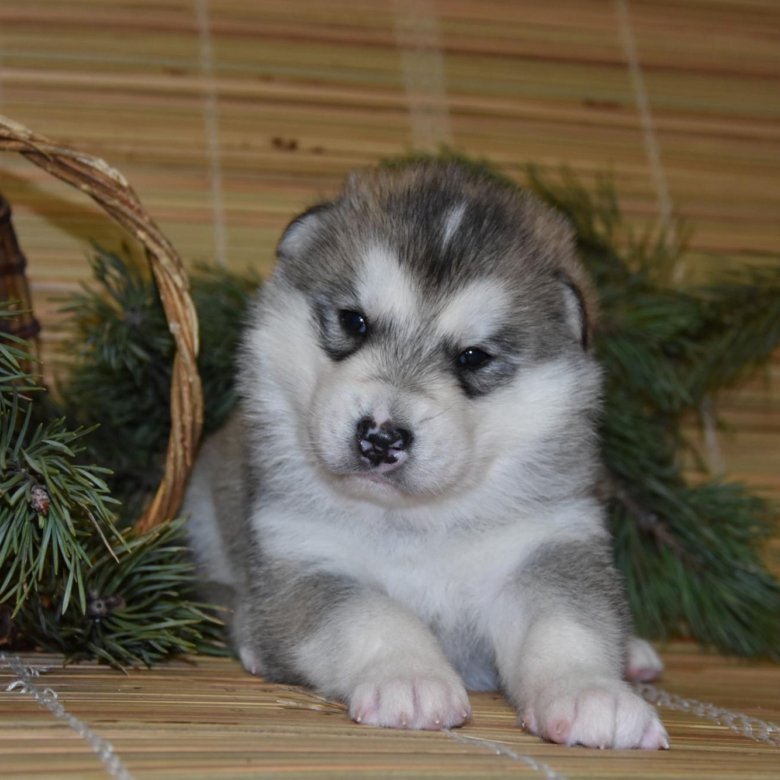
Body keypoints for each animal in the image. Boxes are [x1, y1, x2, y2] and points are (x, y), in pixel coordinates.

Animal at [183, 160, 672, 748]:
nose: (380, 437)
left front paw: (592, 695)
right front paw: (410, 679)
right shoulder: (302, 558)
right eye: (353, 321)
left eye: (474, 357)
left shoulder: (548, 544)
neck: (416, 523)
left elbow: (565, 625)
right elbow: (373, 614)